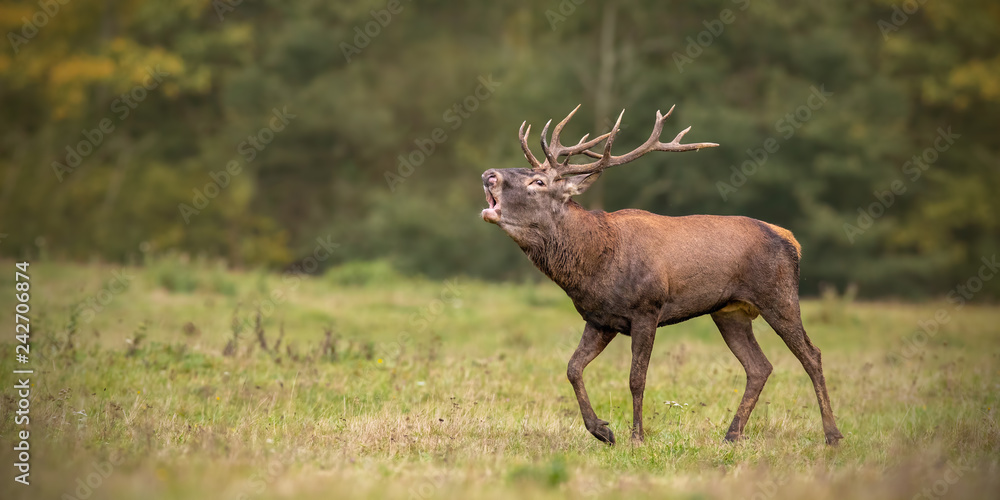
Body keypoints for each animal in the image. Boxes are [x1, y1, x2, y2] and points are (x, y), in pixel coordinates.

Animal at [480, 104, 844, 446]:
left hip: (779, 295)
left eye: (538, 182)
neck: (594, 263)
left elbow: (636, 378)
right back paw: (732, 434)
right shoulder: (599, 319)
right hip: (730, 312)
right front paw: (602, 431)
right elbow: (572, 368)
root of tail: (792, 240)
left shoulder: (647, 308)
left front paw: (636, 437)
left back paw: (832, 434)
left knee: (812, 355)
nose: (488, 174)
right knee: (759, 366)